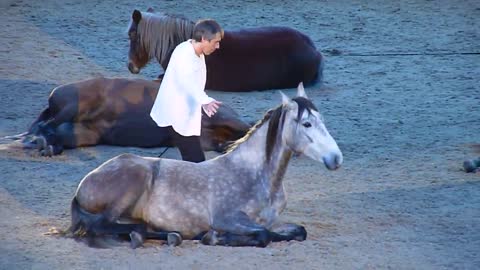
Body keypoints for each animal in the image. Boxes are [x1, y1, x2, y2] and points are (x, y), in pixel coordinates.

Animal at [69, 83, 344, 248]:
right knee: (101, 225)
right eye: (306, 123)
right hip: (135, 180)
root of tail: (84, 182)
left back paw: (169, 235)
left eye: (321, 120)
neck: (255, 176)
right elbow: (263, 236)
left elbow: (299, 231)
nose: (336, 158)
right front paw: (213, 236)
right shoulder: (229, 219)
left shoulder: (269, 221)